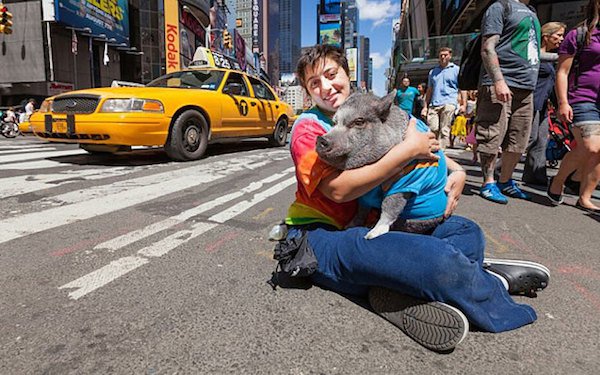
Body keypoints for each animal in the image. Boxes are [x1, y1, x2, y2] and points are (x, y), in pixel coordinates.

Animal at [316, 89, 448, 239]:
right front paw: (349, 226)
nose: (321, 139)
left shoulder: (407, 179)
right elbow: (362, 208)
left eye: (359, 121)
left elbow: (391, 204)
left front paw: (371, 235)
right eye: (334, 123)